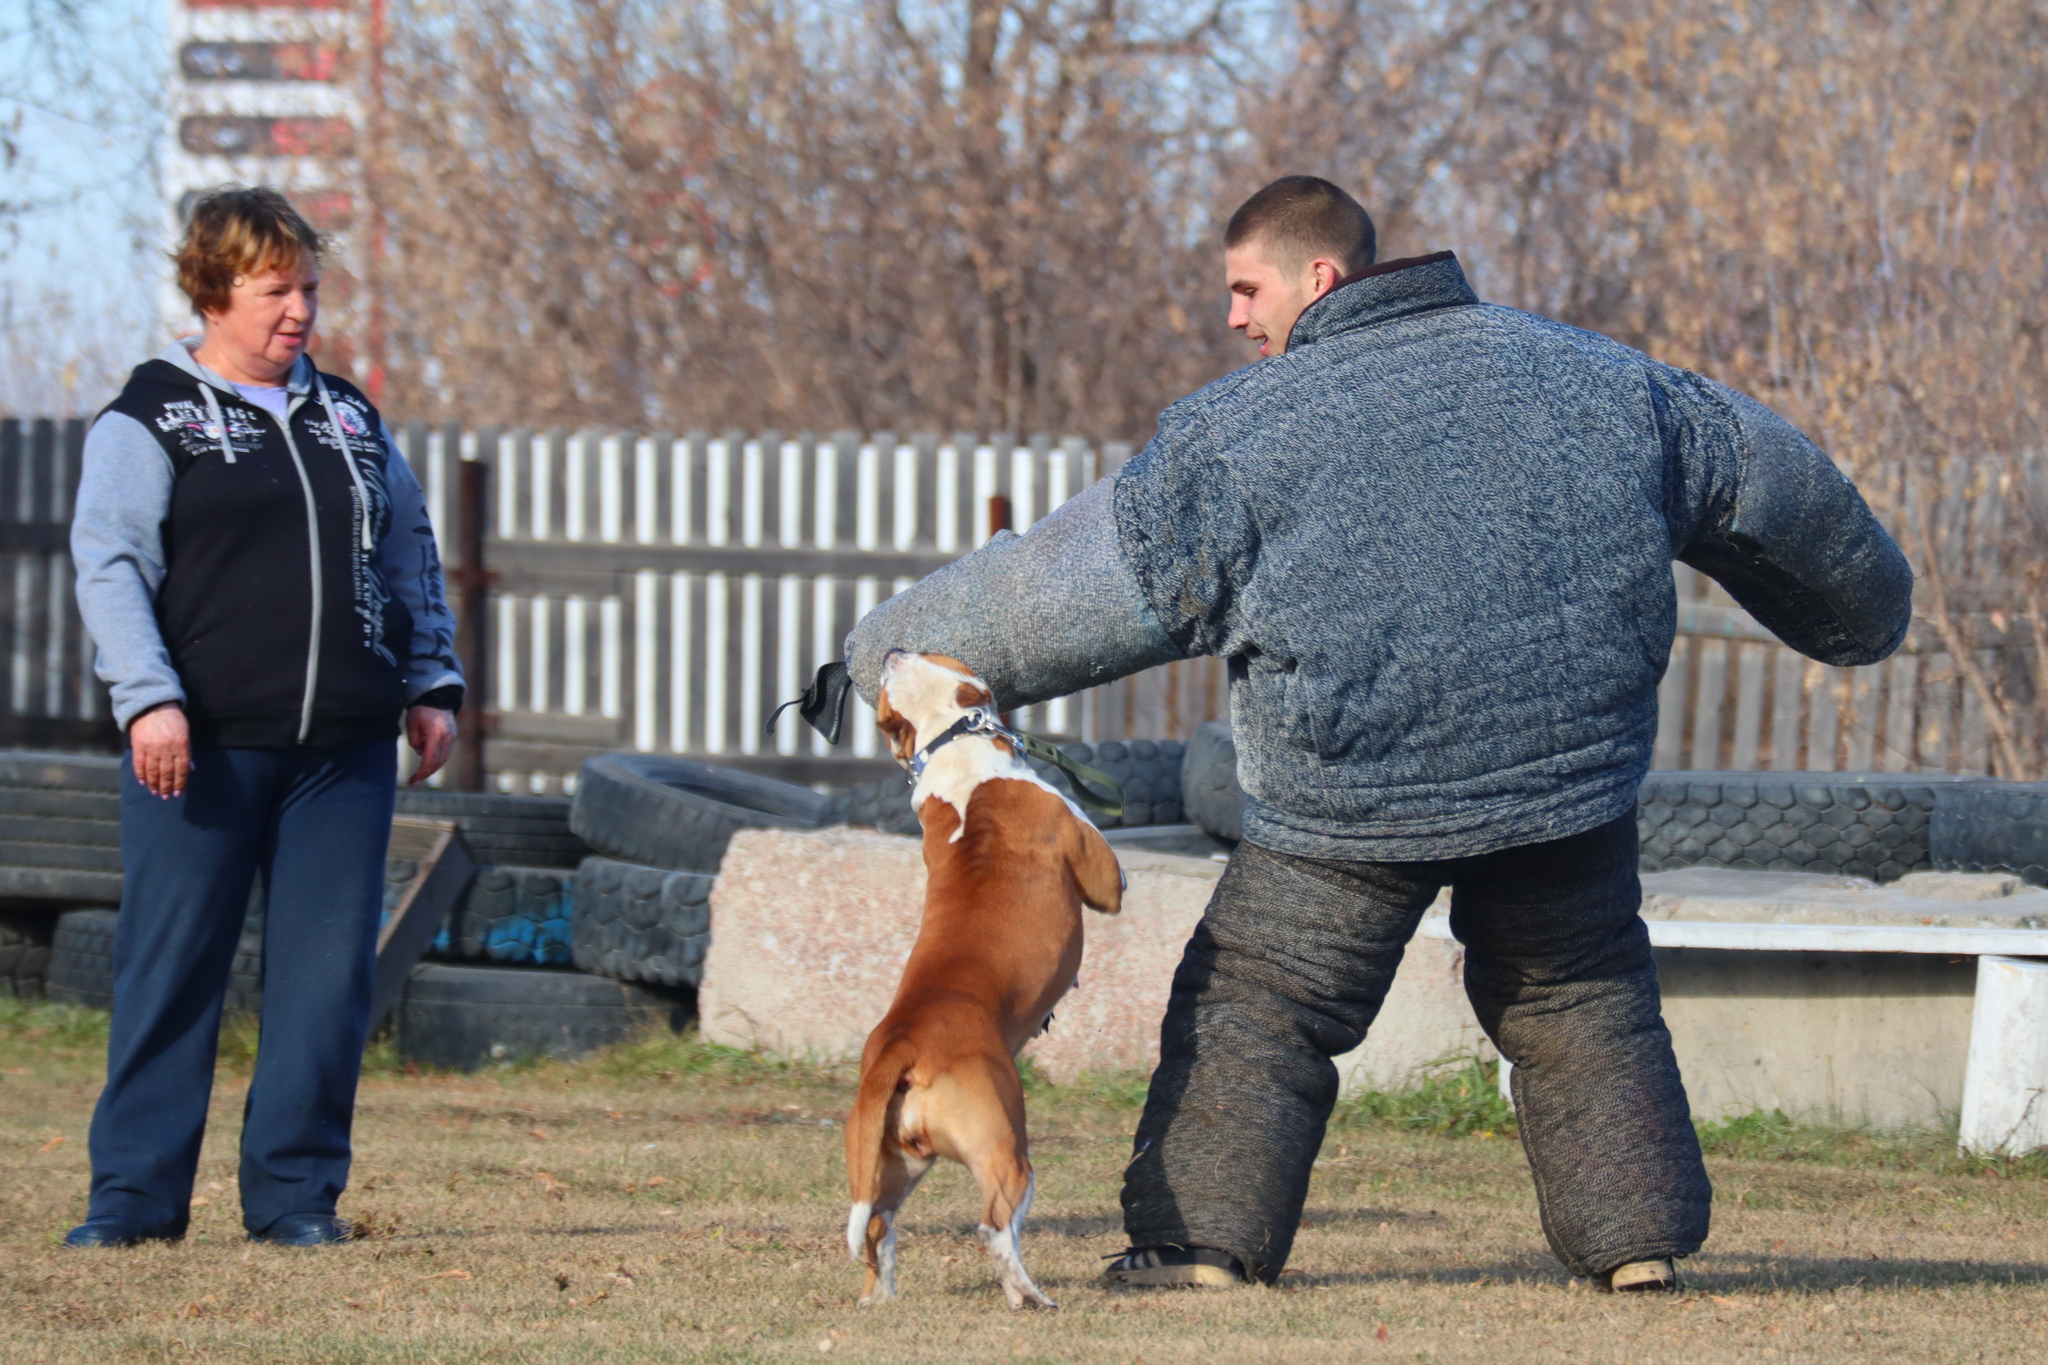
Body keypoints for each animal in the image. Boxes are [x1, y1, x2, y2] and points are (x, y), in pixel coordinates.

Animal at [843, 654, 1122, 1309]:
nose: (889, 650)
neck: (951, 741)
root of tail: (903, 1045)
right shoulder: (1101, 875)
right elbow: (1111, 885)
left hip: (890, 1162)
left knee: (877, 1223)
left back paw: (879, 1299)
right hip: (1006, 1147)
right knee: (994, 1226)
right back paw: (1030, 1296)